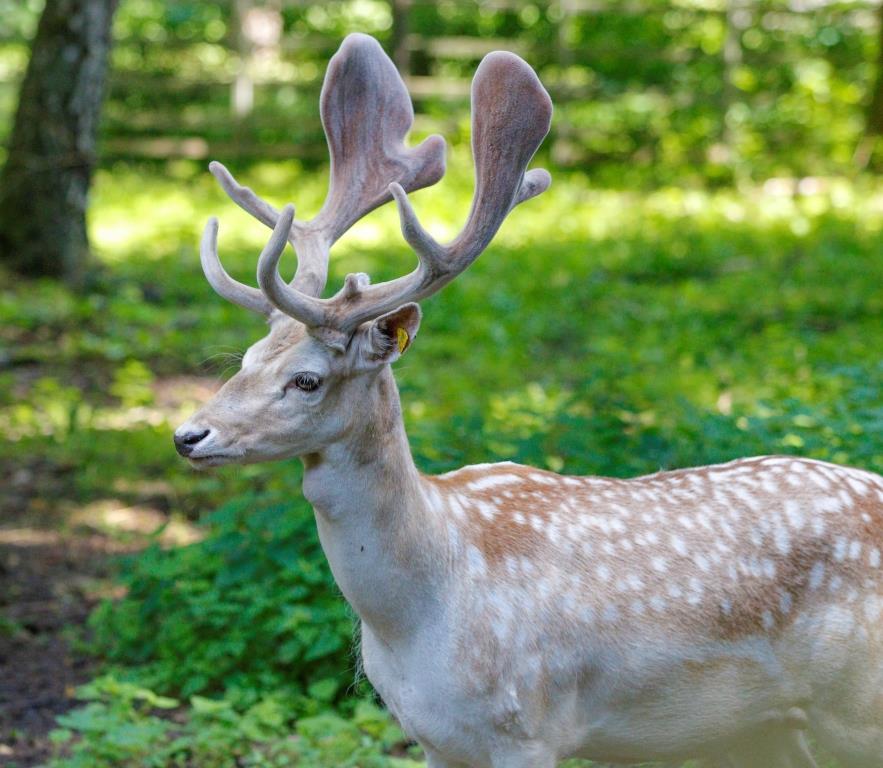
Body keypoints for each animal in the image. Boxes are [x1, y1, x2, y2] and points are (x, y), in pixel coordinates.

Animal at [176, 31, 883, 768]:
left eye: (308, 379)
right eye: (244, 361)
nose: (188, 436)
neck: (417, 614)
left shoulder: (528, 727)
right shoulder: (434, 737)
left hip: (858, 704)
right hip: (767, 728)